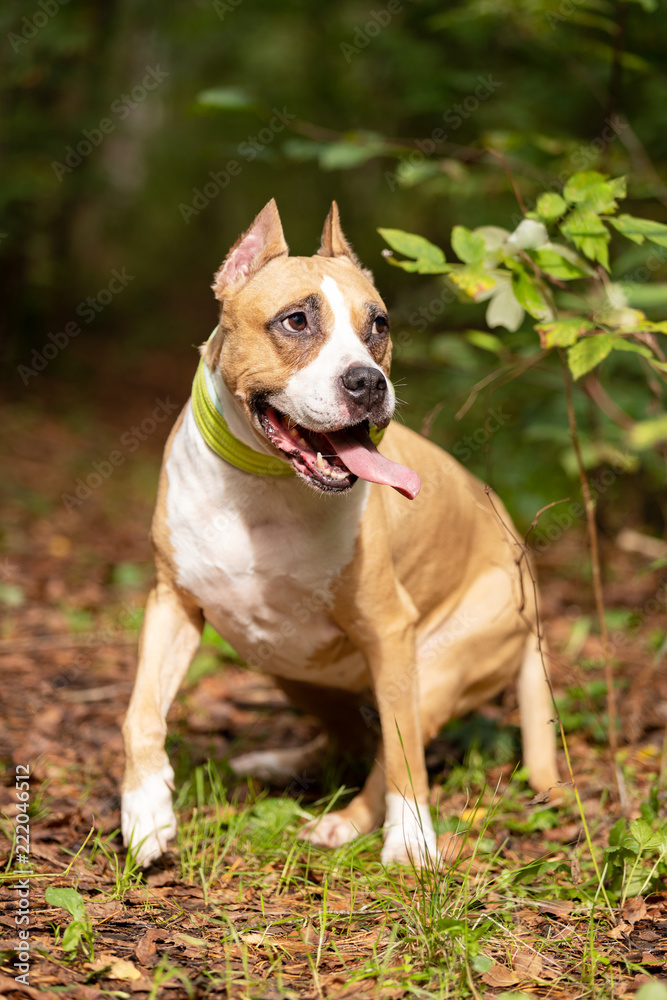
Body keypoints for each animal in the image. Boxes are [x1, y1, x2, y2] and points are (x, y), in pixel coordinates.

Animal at [120, 201, 560, 868]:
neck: (263, 488)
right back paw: (281, 764)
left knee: (389, 749)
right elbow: (140, 712)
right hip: (285, 659)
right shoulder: (172, 603)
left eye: (378, 325)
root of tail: (528, 574)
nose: (368, 382)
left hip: (440, 661)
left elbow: (404, 752)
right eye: (297, 320)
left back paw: (346, 823)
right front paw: (146, 809)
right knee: (350, 735)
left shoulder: (389, 629)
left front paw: (412, 841)